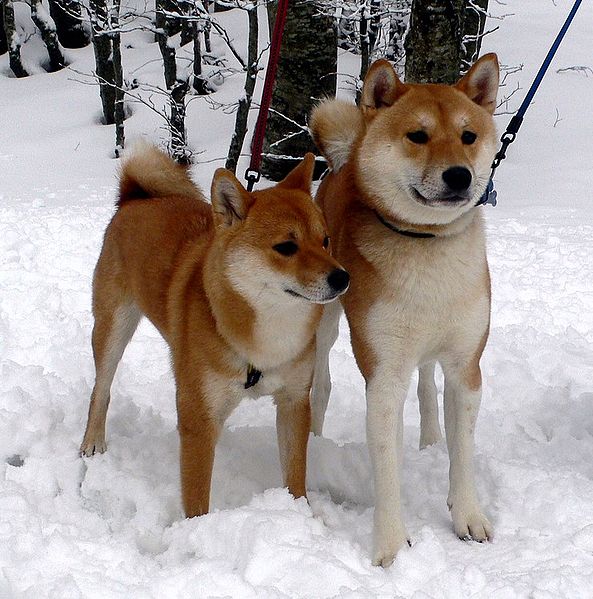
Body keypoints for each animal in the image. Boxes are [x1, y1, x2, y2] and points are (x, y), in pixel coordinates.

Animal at [78, 144, 346, 516]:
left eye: (325, 240)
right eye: (286, 247)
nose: (342, 277)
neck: (266, 335)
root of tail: (134, 198)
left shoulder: (293, 402)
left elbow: (295, 476)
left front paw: (300, 515)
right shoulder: (198, 420)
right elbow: (197, 499)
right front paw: (196, 529)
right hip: (112, 329)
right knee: (100, 390)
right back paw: (92, 442)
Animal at [310, 52, 500, 568]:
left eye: (468, 136)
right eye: (417, 135)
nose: (459, 175)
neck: (427, 244)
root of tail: (341, 165)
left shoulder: (466, 365)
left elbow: (463, 451)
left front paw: (468, 517)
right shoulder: (383, 371)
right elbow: (386, 467)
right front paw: (392, 546)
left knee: (426, 385)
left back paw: (430, 437)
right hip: (326, 323)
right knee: (320, 387)